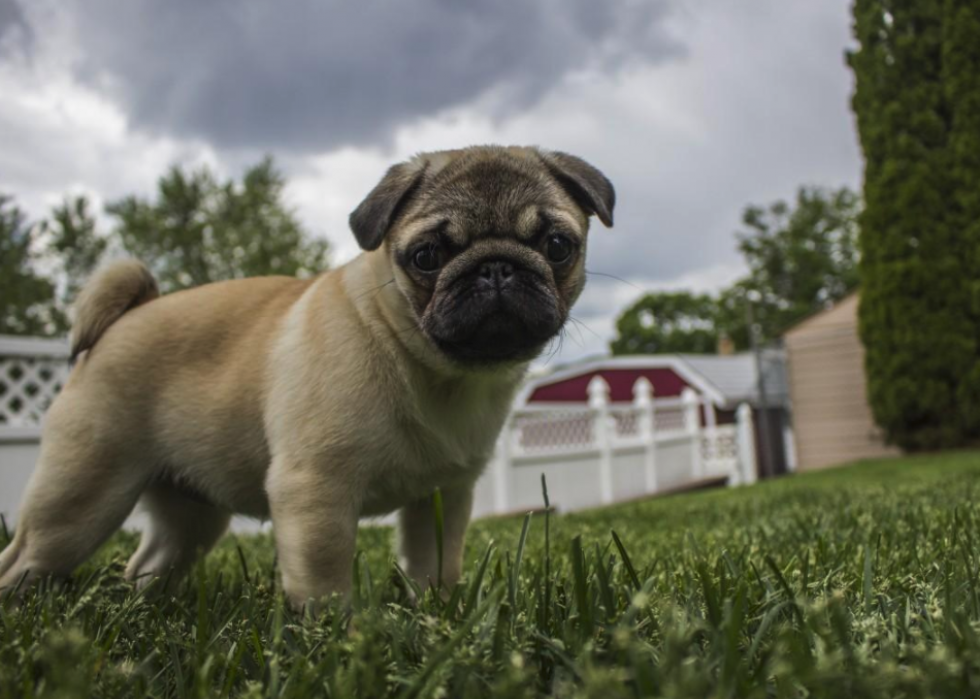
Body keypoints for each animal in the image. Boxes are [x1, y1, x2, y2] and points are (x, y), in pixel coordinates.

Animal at [0, 144, 612, 608]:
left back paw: (146, 606)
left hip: (191, 514)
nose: (496, 268)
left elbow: (434, 562)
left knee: (150, 560)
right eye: (427, 256)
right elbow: (323, 575)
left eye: (558, 246)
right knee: (26, 556)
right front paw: (332, 636)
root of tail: (128, 314)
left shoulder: (442, 496)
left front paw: (436, 614)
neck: (430, 368)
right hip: (80, 495)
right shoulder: (317, 490)